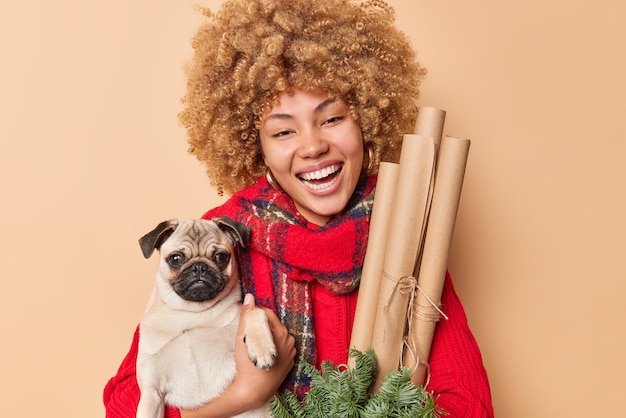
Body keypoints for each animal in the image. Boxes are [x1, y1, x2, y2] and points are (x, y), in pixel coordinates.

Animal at [135, 217, 274, 418]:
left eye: (221, 257)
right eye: (175, 259)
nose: (199, 267)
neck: (192, 314)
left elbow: (253, 310)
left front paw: (262, 350)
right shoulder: (151, 390)